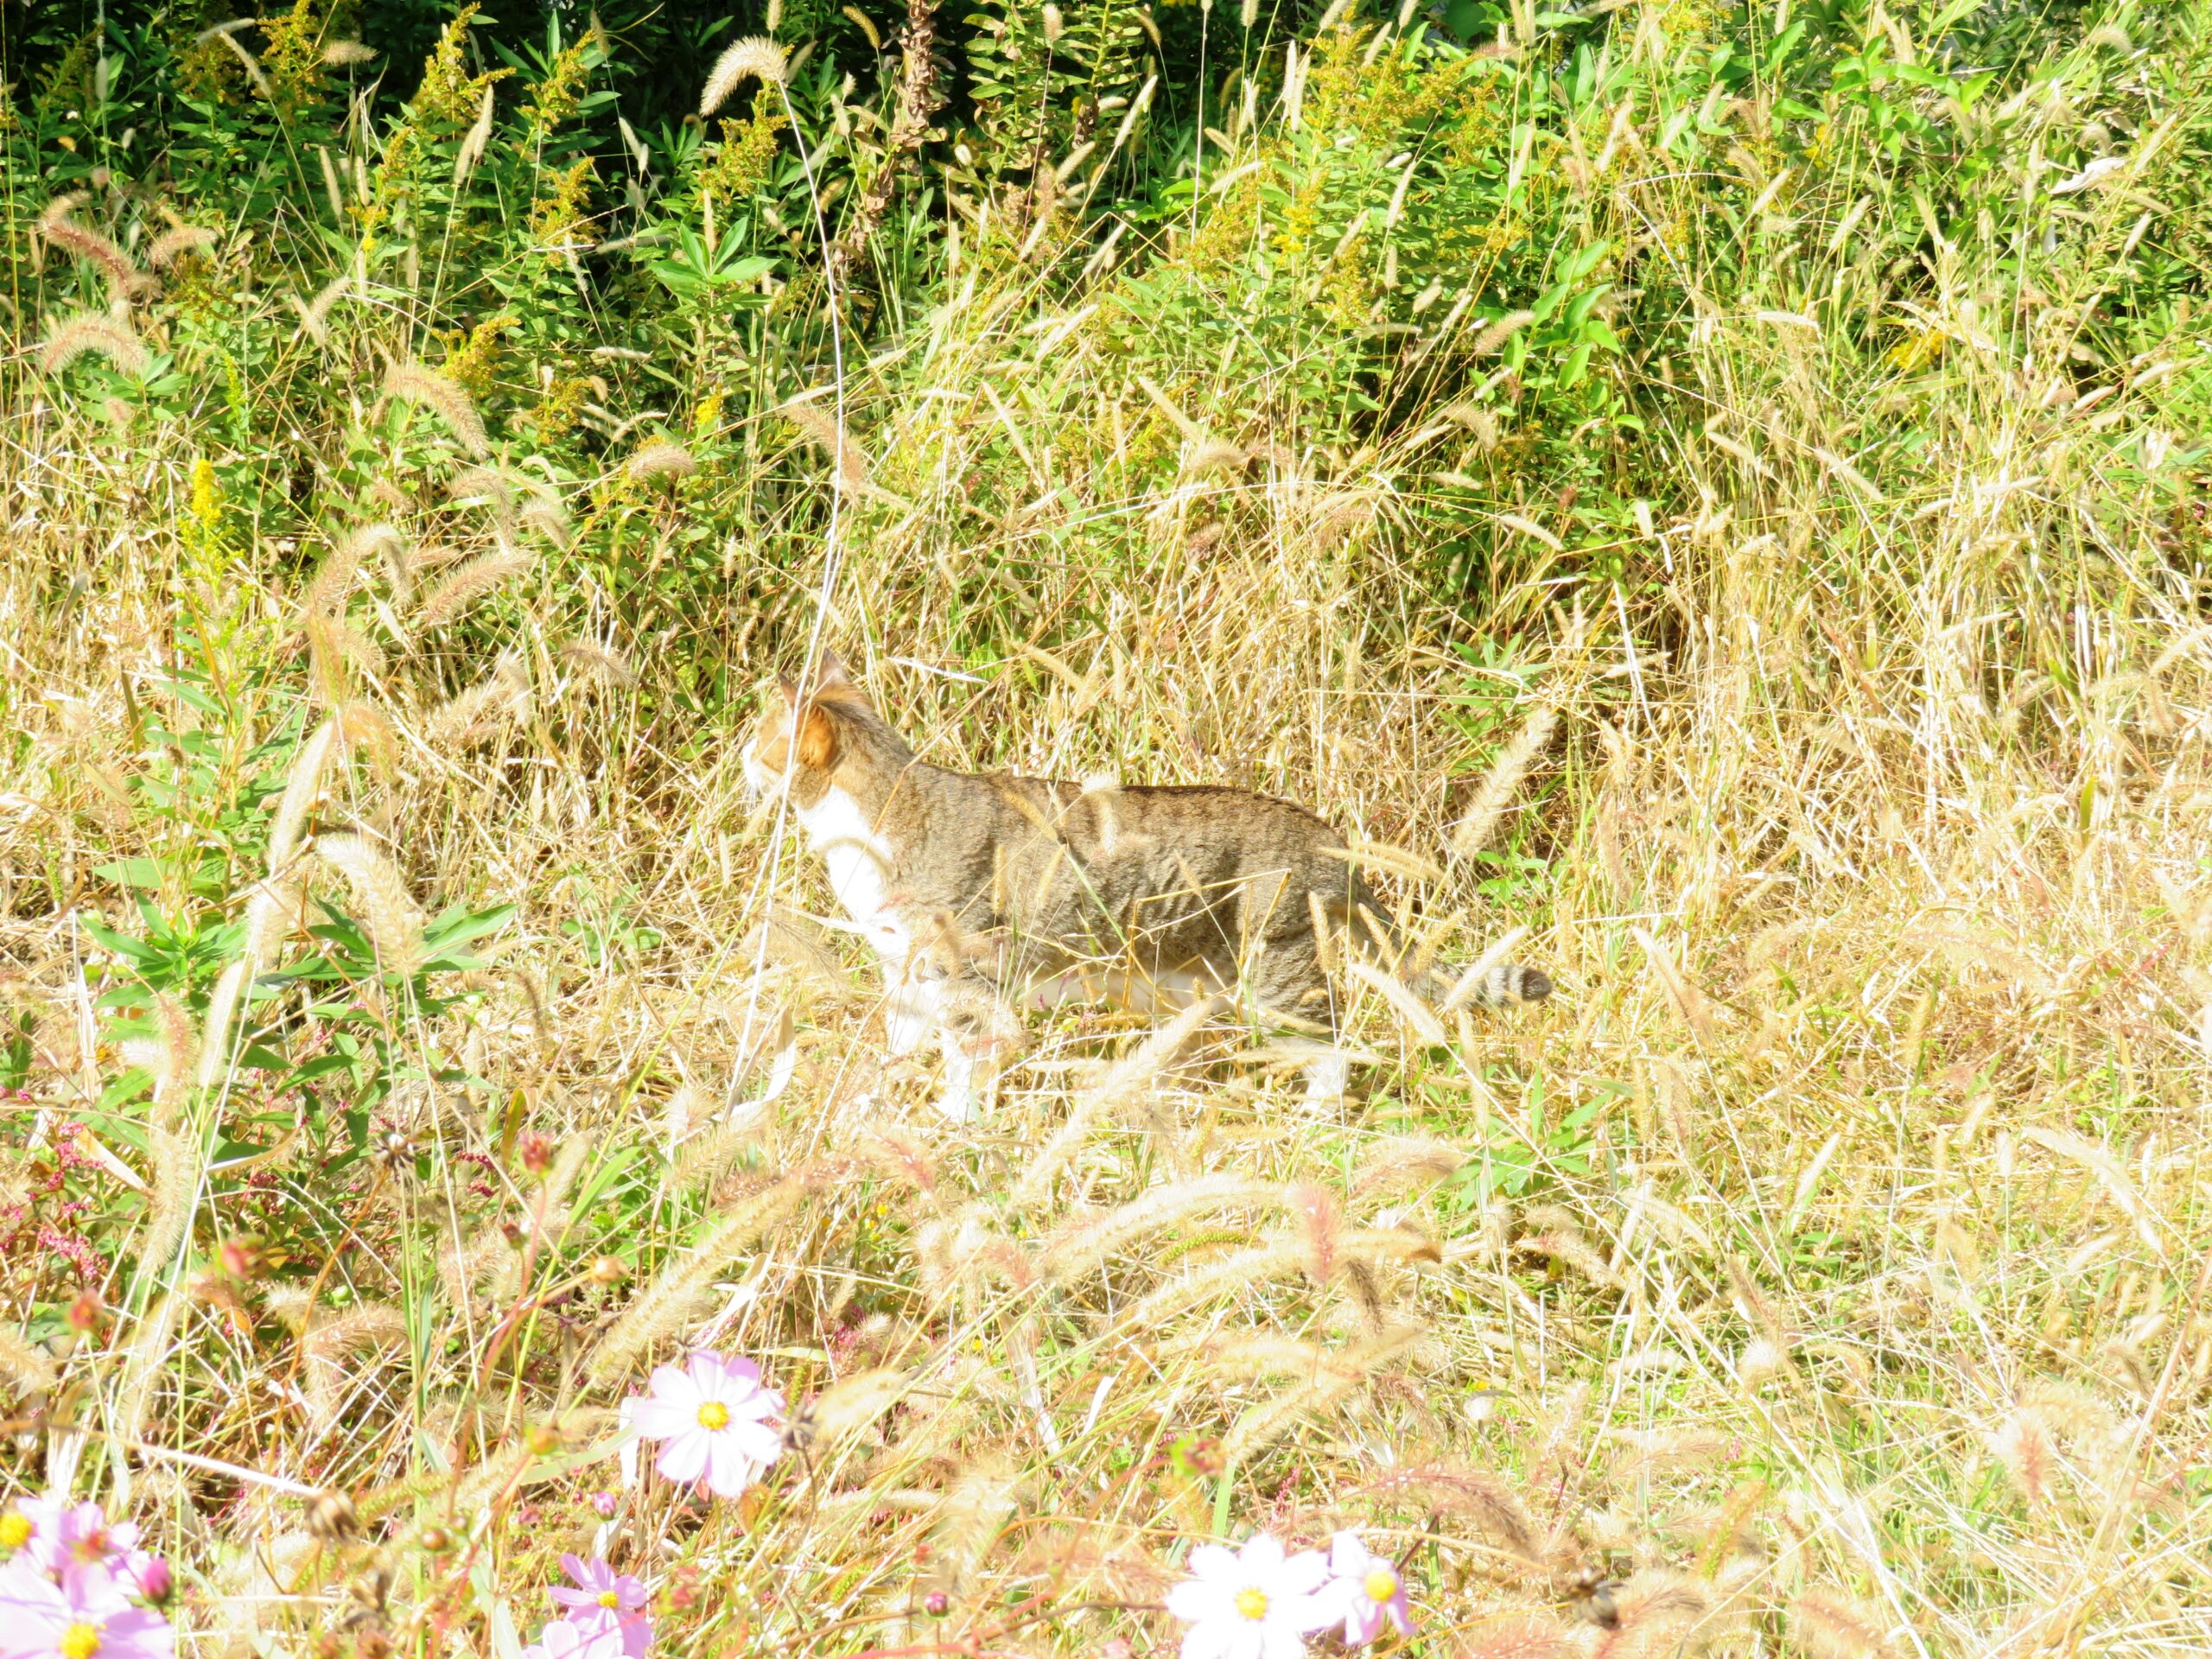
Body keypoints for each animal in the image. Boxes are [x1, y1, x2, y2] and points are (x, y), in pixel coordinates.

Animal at [743, 654, 1557, 1123]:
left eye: (759, 742)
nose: (738, 760)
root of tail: (1333, 841)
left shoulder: (966, 983)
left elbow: (964, 1073)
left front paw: (955, 1133)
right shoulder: (908, 980)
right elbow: (893, 1060)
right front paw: (870, 1121)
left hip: (1278, 976)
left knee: (1332, 1050)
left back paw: (1315, 1130)